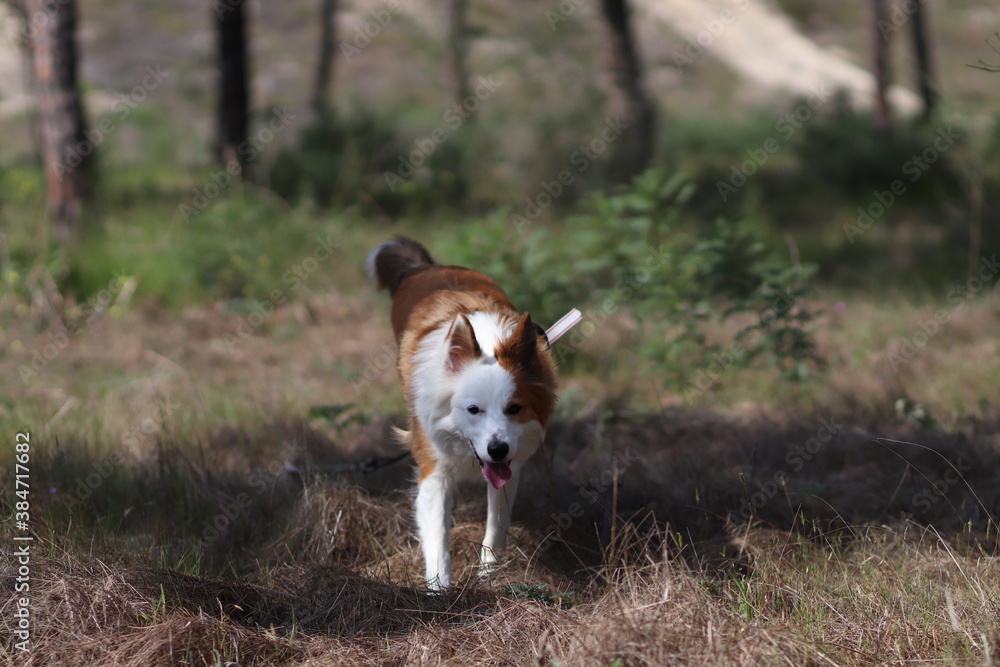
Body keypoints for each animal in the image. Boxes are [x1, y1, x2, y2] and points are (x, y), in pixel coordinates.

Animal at [368, 236, 560, 588]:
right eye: (473, 409)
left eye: (514, 408)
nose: (497, 450)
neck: (487, 344)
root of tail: (425, 267)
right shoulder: (433, 467)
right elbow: (437, 537)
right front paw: (439, 590)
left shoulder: (510, 467)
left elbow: (497, 525)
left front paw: (489, 575)